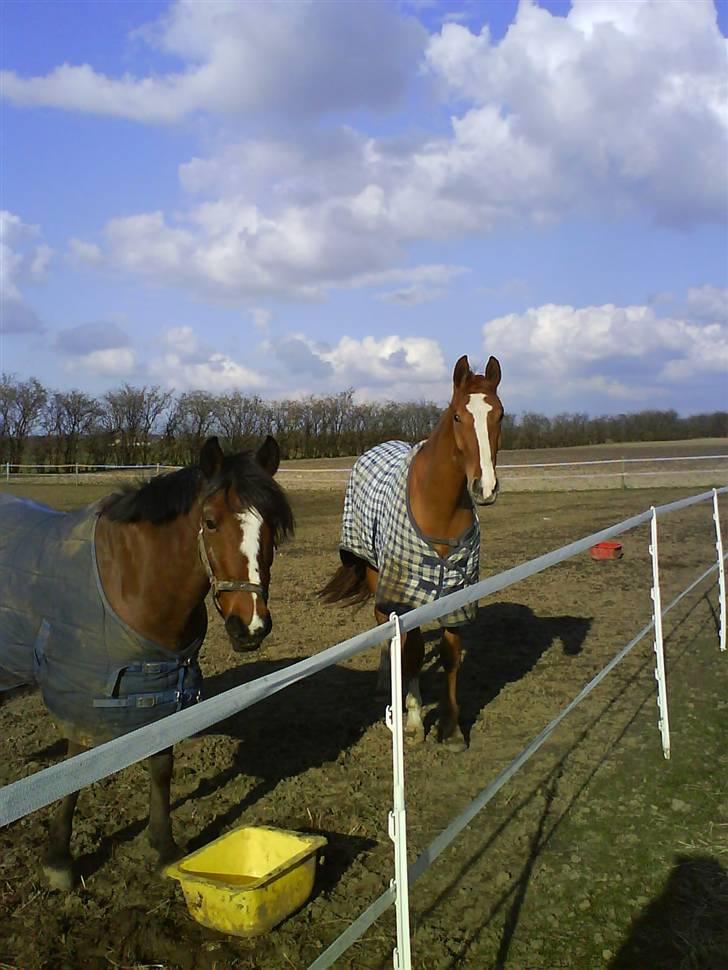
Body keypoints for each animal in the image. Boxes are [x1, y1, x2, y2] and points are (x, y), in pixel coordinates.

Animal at [1, 434, 296, 888]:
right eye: (210, 522)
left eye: (271, 527)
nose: (250, 626)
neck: (132, 580)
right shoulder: (82, 692)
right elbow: (74, 772)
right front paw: (59, 860)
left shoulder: (165, 688)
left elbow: (161, 766)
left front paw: (164, 848)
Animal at [322, 354, 504, 748]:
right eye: (457, 416)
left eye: (500, 414)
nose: (485, 487)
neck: (439, 508)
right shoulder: (408, 595)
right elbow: (414, 654)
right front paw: (416, 721)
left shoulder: (458, 593)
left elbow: (450, 656)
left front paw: (452, 729)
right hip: (377, 577)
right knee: (386, 630)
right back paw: (385, 684)